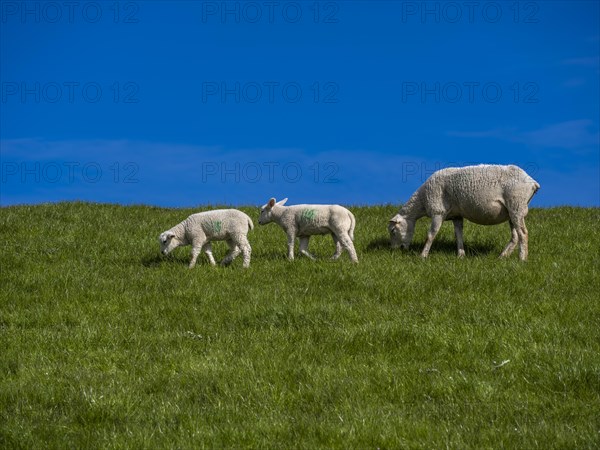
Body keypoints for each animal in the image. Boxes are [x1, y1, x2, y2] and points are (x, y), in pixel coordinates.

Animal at [390, 163, 540, 260]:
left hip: (516, 205)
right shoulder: (456, 215)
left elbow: (431, 235)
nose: (396, 250)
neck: (421, 200)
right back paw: (502, 257)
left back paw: (522, 259)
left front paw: (423, 256)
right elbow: (458, 235)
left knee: (523, 233)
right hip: (513, 210)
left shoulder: (438, 211)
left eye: (393, 231)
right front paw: (461, 255)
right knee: (515, 236)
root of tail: (532, 181)